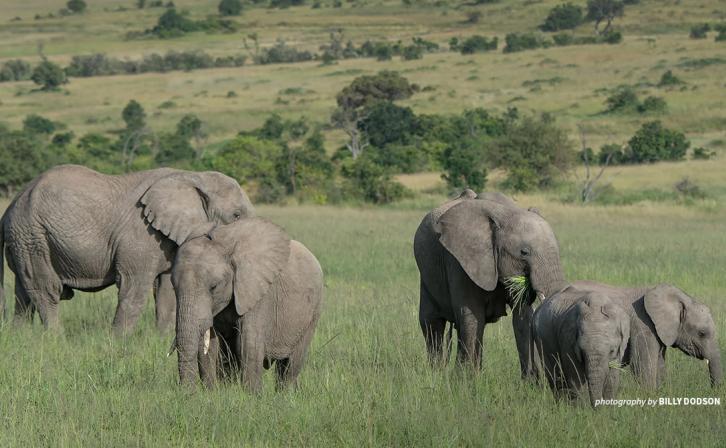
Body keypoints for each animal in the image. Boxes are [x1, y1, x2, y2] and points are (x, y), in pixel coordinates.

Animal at [0, 164, 255, 332]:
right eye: (236, 215)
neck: (194, 176)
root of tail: (9, 209)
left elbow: (166, 291)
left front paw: (159, 339)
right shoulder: (141, 233)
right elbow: (134, 288)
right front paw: (118, 344)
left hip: (24, 241)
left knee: (24, 294)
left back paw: (22, 338)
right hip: (33, 235)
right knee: (45, 290)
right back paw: (56, 339)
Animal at [172, 215, 322, 390]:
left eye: (214, 287)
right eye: (173, 286)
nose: (186, 393)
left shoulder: (258, 292)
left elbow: (248, 344)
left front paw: (251, 395)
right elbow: (210, 347)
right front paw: (213, 392)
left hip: (313, 312)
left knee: (291, 364)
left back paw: (286, 394)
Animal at [416, 189, 568, 374]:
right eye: (524, 252)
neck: (505, 213)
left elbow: (522, 317)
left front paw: (531, 380)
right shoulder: (459, 262)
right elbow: (472, 317)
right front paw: (466, 379)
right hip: (427, 274)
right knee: (432, 324)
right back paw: (437, 373)